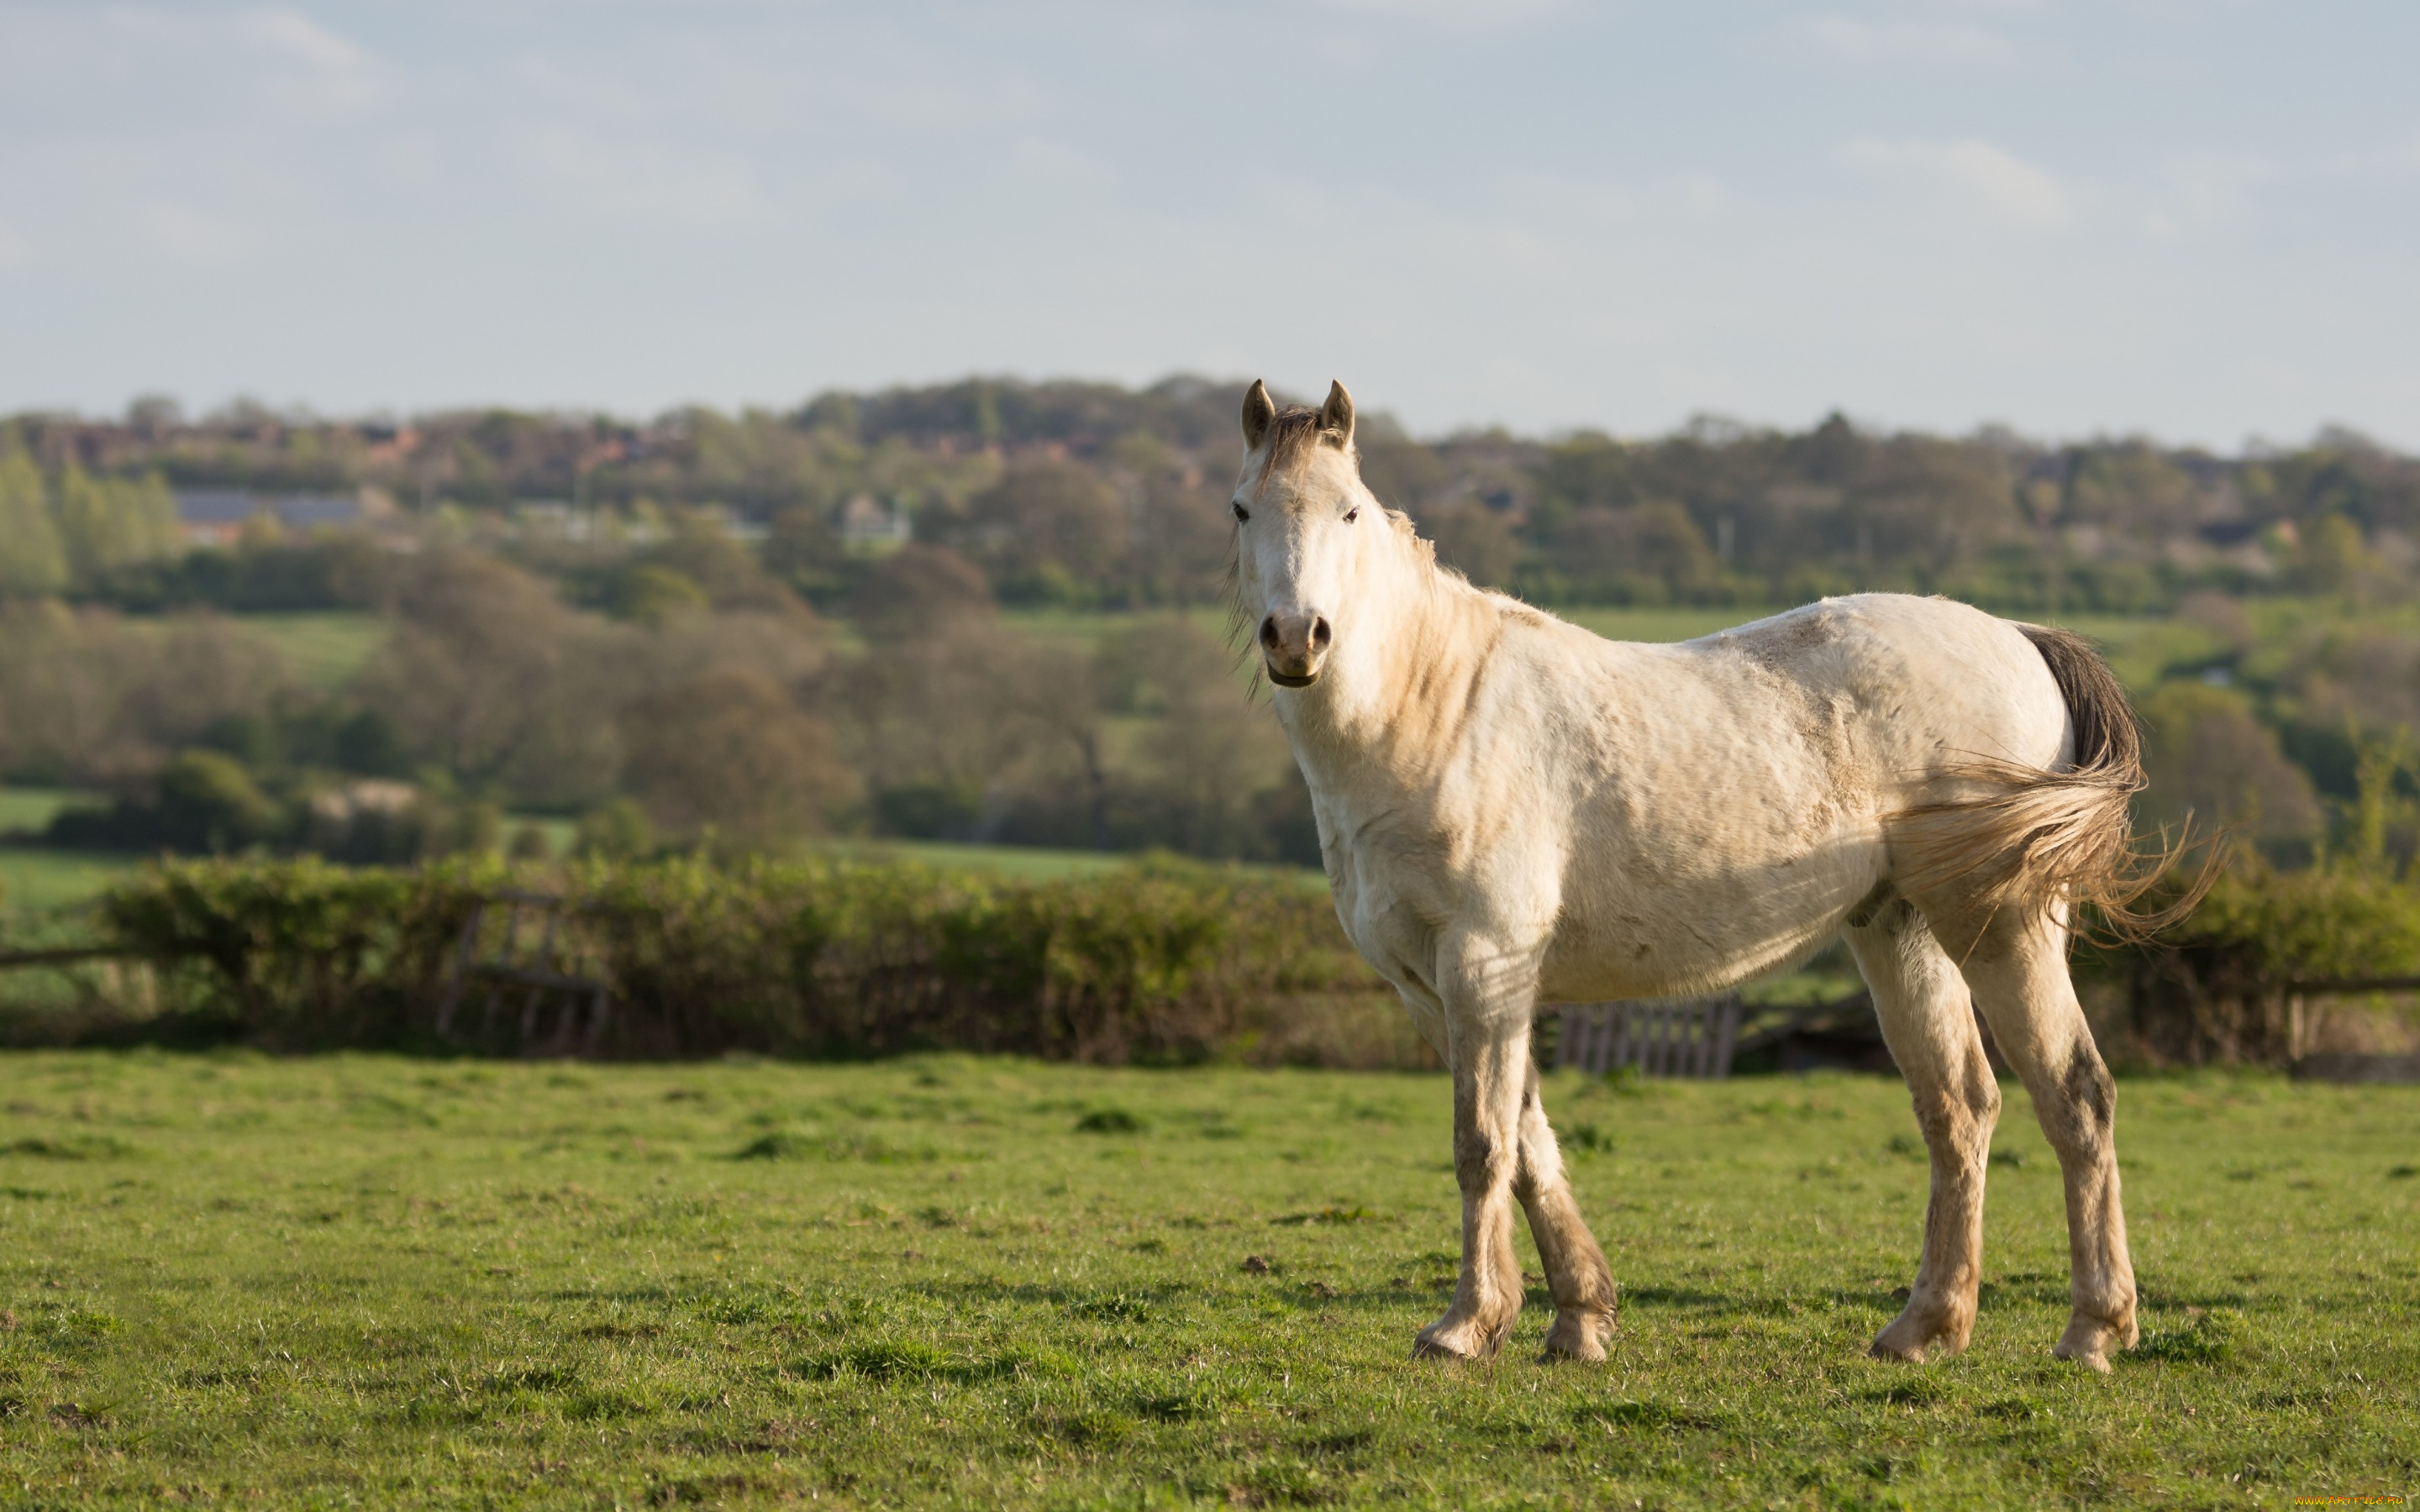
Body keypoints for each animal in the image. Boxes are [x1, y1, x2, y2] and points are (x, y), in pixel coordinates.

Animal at [1239, 375, 2168, 1364]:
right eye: (1243, 508)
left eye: (1347, 510)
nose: (1296, 638)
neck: (1436, 709)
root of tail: (2019, 636)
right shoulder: (1434, 988)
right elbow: (1529, 1145)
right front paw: (1579, 1319)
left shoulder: (1484, 965)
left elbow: (1483, 1145)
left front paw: (1465, 1325)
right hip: (1900, 931)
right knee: (1960, 1109)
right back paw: (1925, 1328)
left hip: (2001, 926)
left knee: (2076, 1096)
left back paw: (2093, 1330)